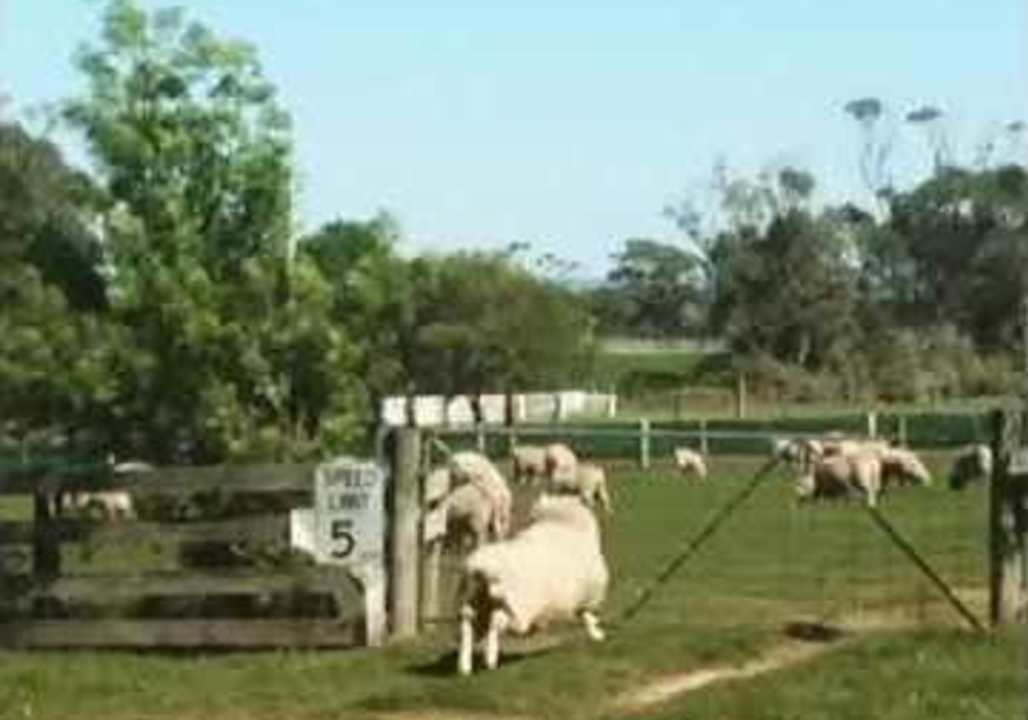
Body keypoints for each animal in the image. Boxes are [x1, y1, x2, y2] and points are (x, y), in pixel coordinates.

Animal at [456, 493, 609, 675]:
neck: (562, 521)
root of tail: (482, 567)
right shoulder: (588, 595)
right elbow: (587, 615)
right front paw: (597, 633)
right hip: (512, 606)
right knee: (495, 623)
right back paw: (490, 658)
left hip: (476, 601)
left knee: (467, 624)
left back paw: (465, 664)